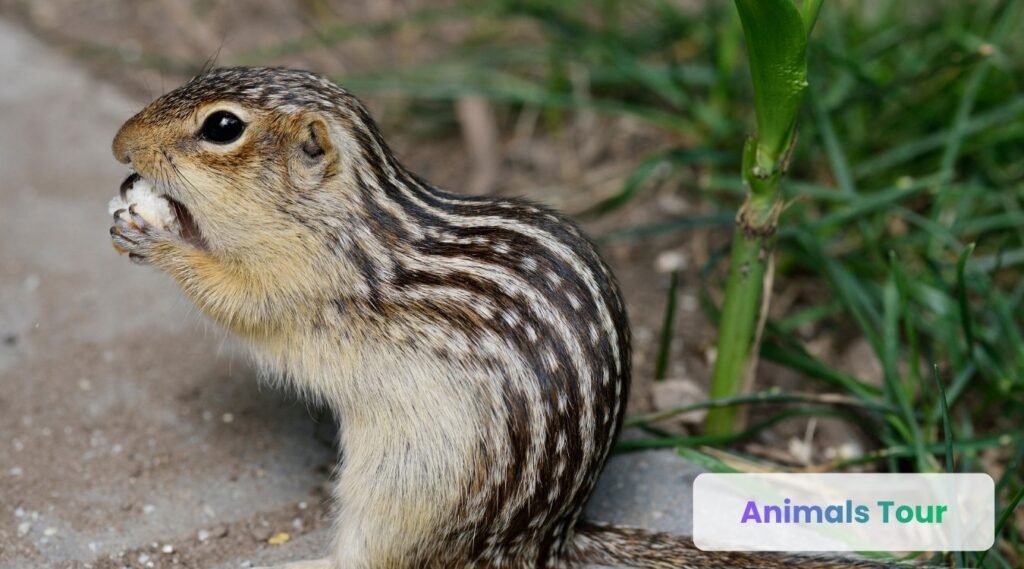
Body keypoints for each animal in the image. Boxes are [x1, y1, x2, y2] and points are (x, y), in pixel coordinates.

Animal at [109, 67, 901, 569]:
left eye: (221, 127)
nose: (119, 143)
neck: (347, 216)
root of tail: (550, 539)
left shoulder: (304, 283)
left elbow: (237, 300)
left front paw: (158, 238)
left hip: (403, 487)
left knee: (381, 558)